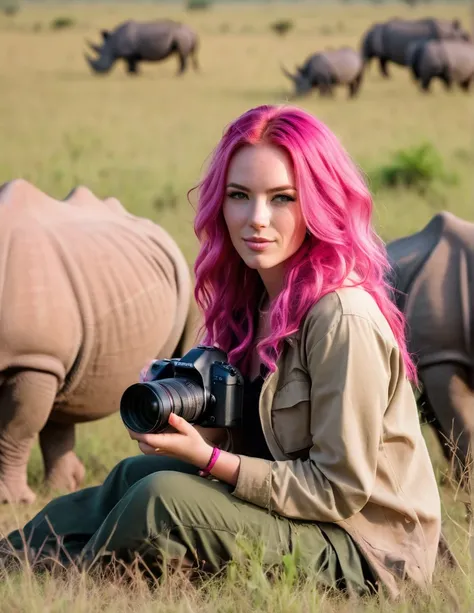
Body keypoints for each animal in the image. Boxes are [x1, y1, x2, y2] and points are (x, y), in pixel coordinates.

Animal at [0, 179, 202, 504]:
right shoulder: (36, 357)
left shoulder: (33, 357)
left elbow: (16, 427)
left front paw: (14, 501)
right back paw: (62, 488)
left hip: (185, 278)